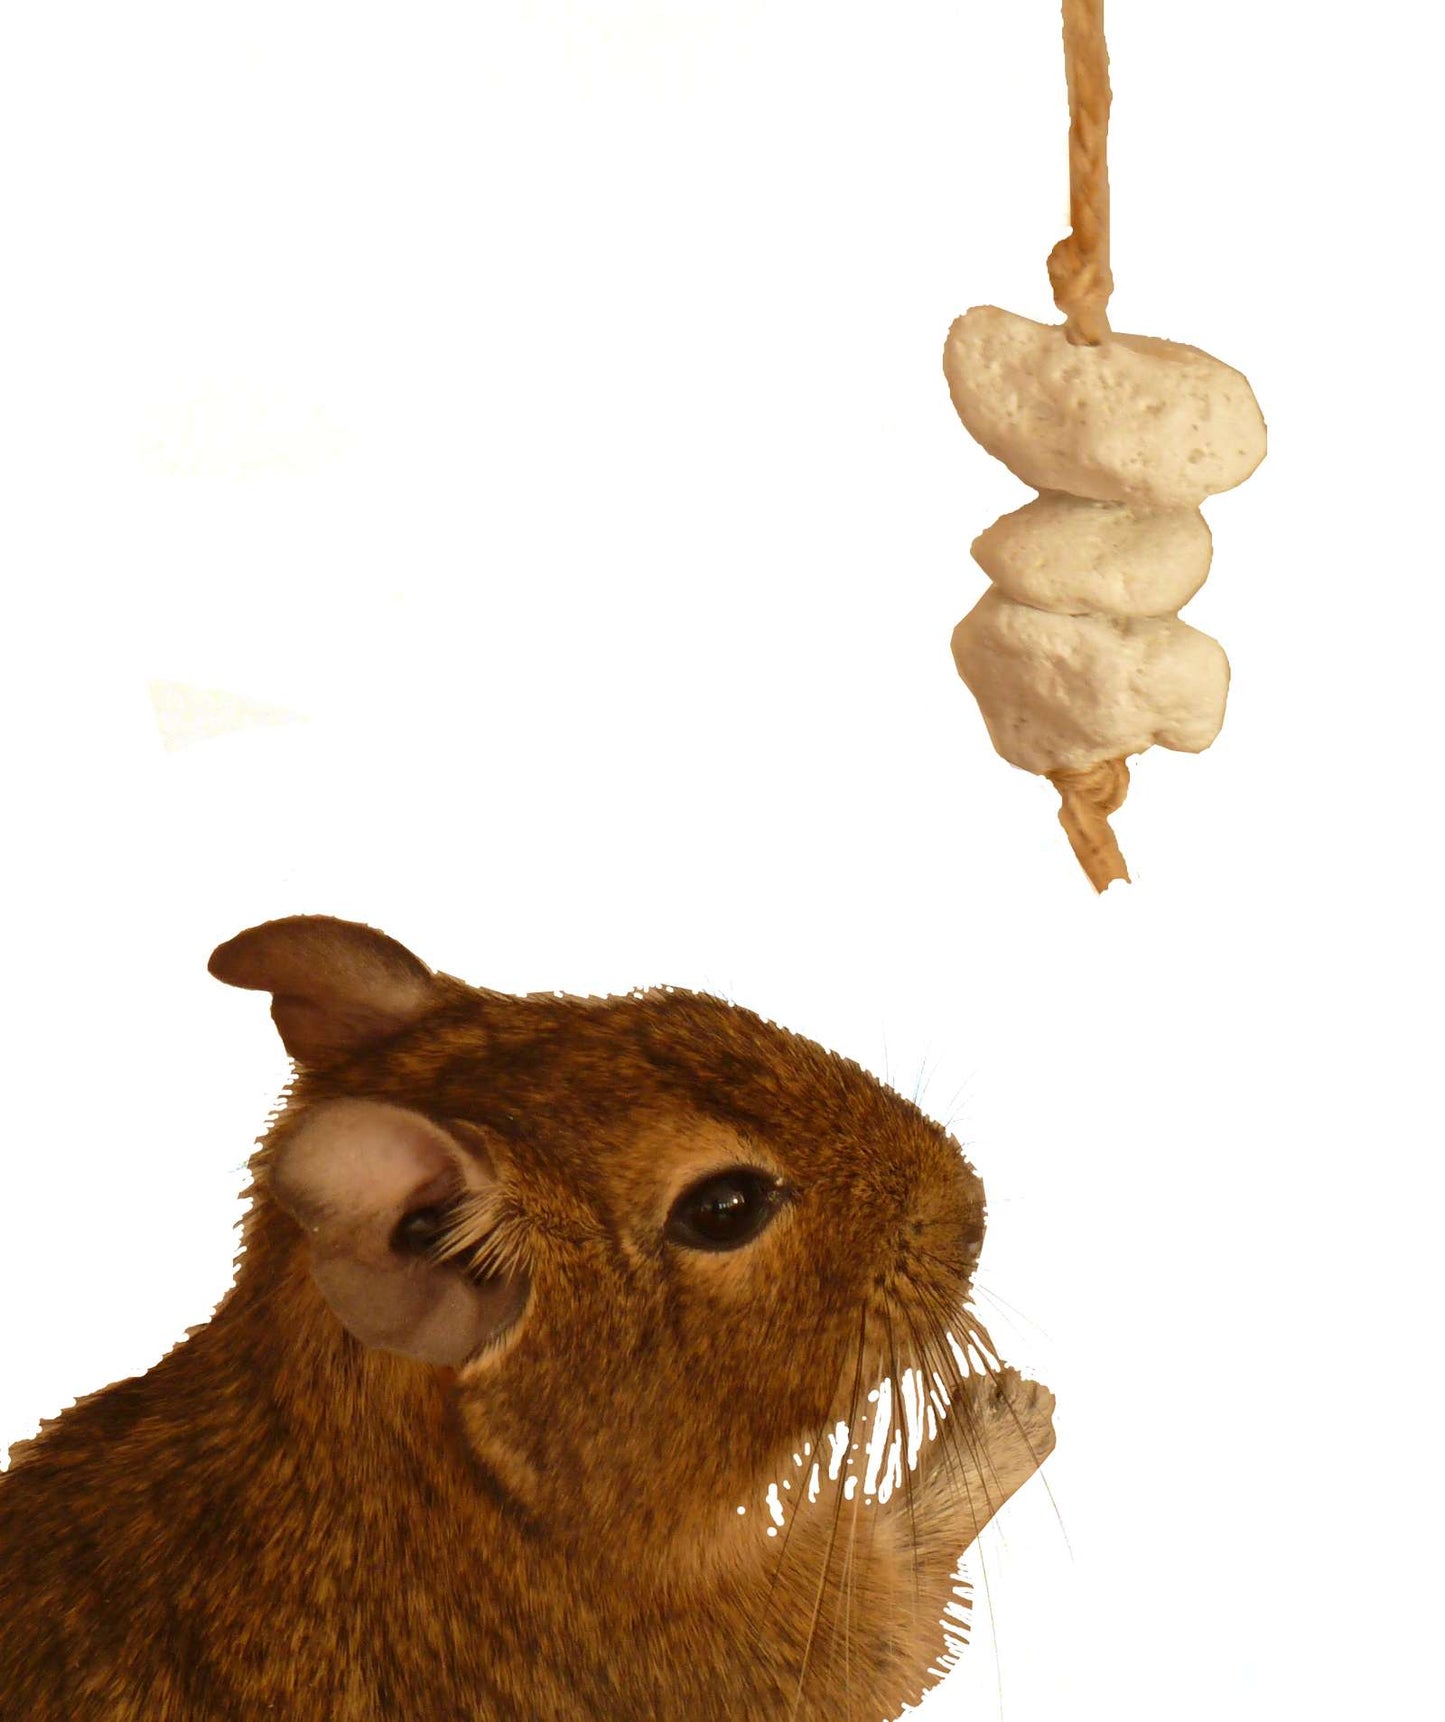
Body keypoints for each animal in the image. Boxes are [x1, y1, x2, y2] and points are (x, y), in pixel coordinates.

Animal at [0, 915, 1055, 1721]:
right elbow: (896, 1591)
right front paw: (1006, 1417)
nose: (973, 1204)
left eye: (691, 1012)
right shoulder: (750, 1655)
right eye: (724, 1209)